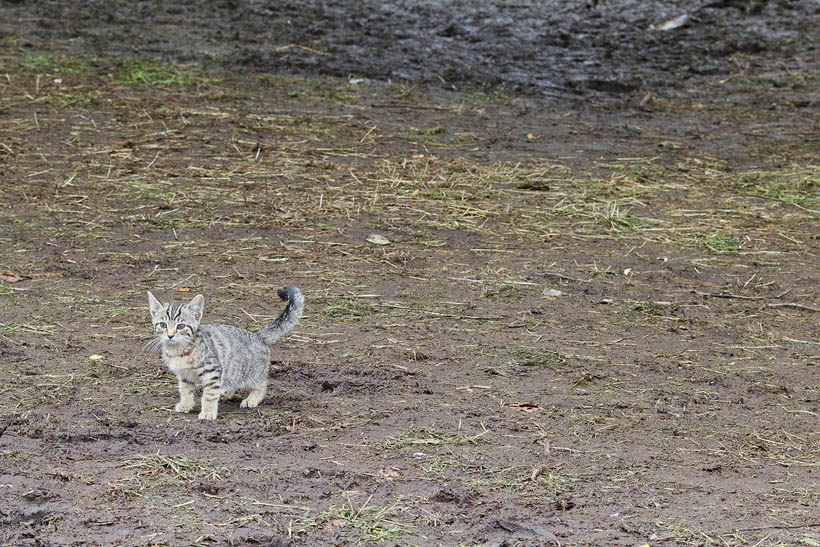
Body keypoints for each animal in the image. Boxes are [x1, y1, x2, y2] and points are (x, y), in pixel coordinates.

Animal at [147, 286, 304, 420]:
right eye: (163, 325)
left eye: (180, 326)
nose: (170, 335)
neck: (179, 350)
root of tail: (258, 336)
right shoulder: (184, 374)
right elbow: (186, 390)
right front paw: (186, 404)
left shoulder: (212, 370)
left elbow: (209, 395)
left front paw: (208, 412)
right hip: (231, 369)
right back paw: (225, 392)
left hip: (251, 372)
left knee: (262, 384)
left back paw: (252, 398)